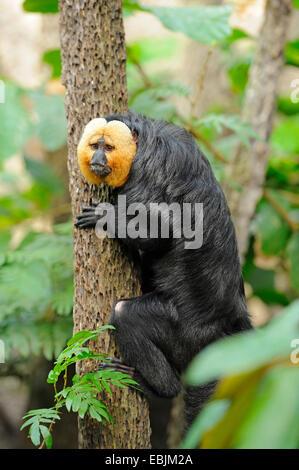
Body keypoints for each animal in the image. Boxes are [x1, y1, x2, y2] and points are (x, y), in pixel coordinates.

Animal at [75, 112, 253, 428]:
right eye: (95, 145)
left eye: (108, 148)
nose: (96, 158)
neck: (141, 143)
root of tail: (222, 326)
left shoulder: (149, 173)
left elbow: (159, 231)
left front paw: (105, 217)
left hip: (183, 335)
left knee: (124, 313)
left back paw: (157, 387)